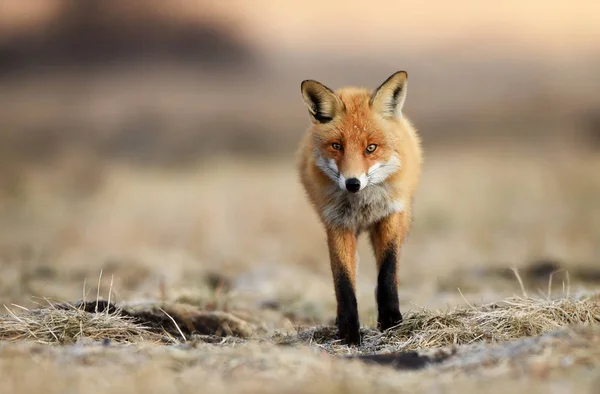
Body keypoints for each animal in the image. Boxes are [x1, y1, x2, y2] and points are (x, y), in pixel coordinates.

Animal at [296, 71, 422, 344]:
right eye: (337, 146)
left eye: (370, 148)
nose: (352, 183)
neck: (362, 206)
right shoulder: (337, 225)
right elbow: (343, 281)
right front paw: (349, 332)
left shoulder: (389, 216)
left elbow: (387, 273)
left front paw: (390, 320)